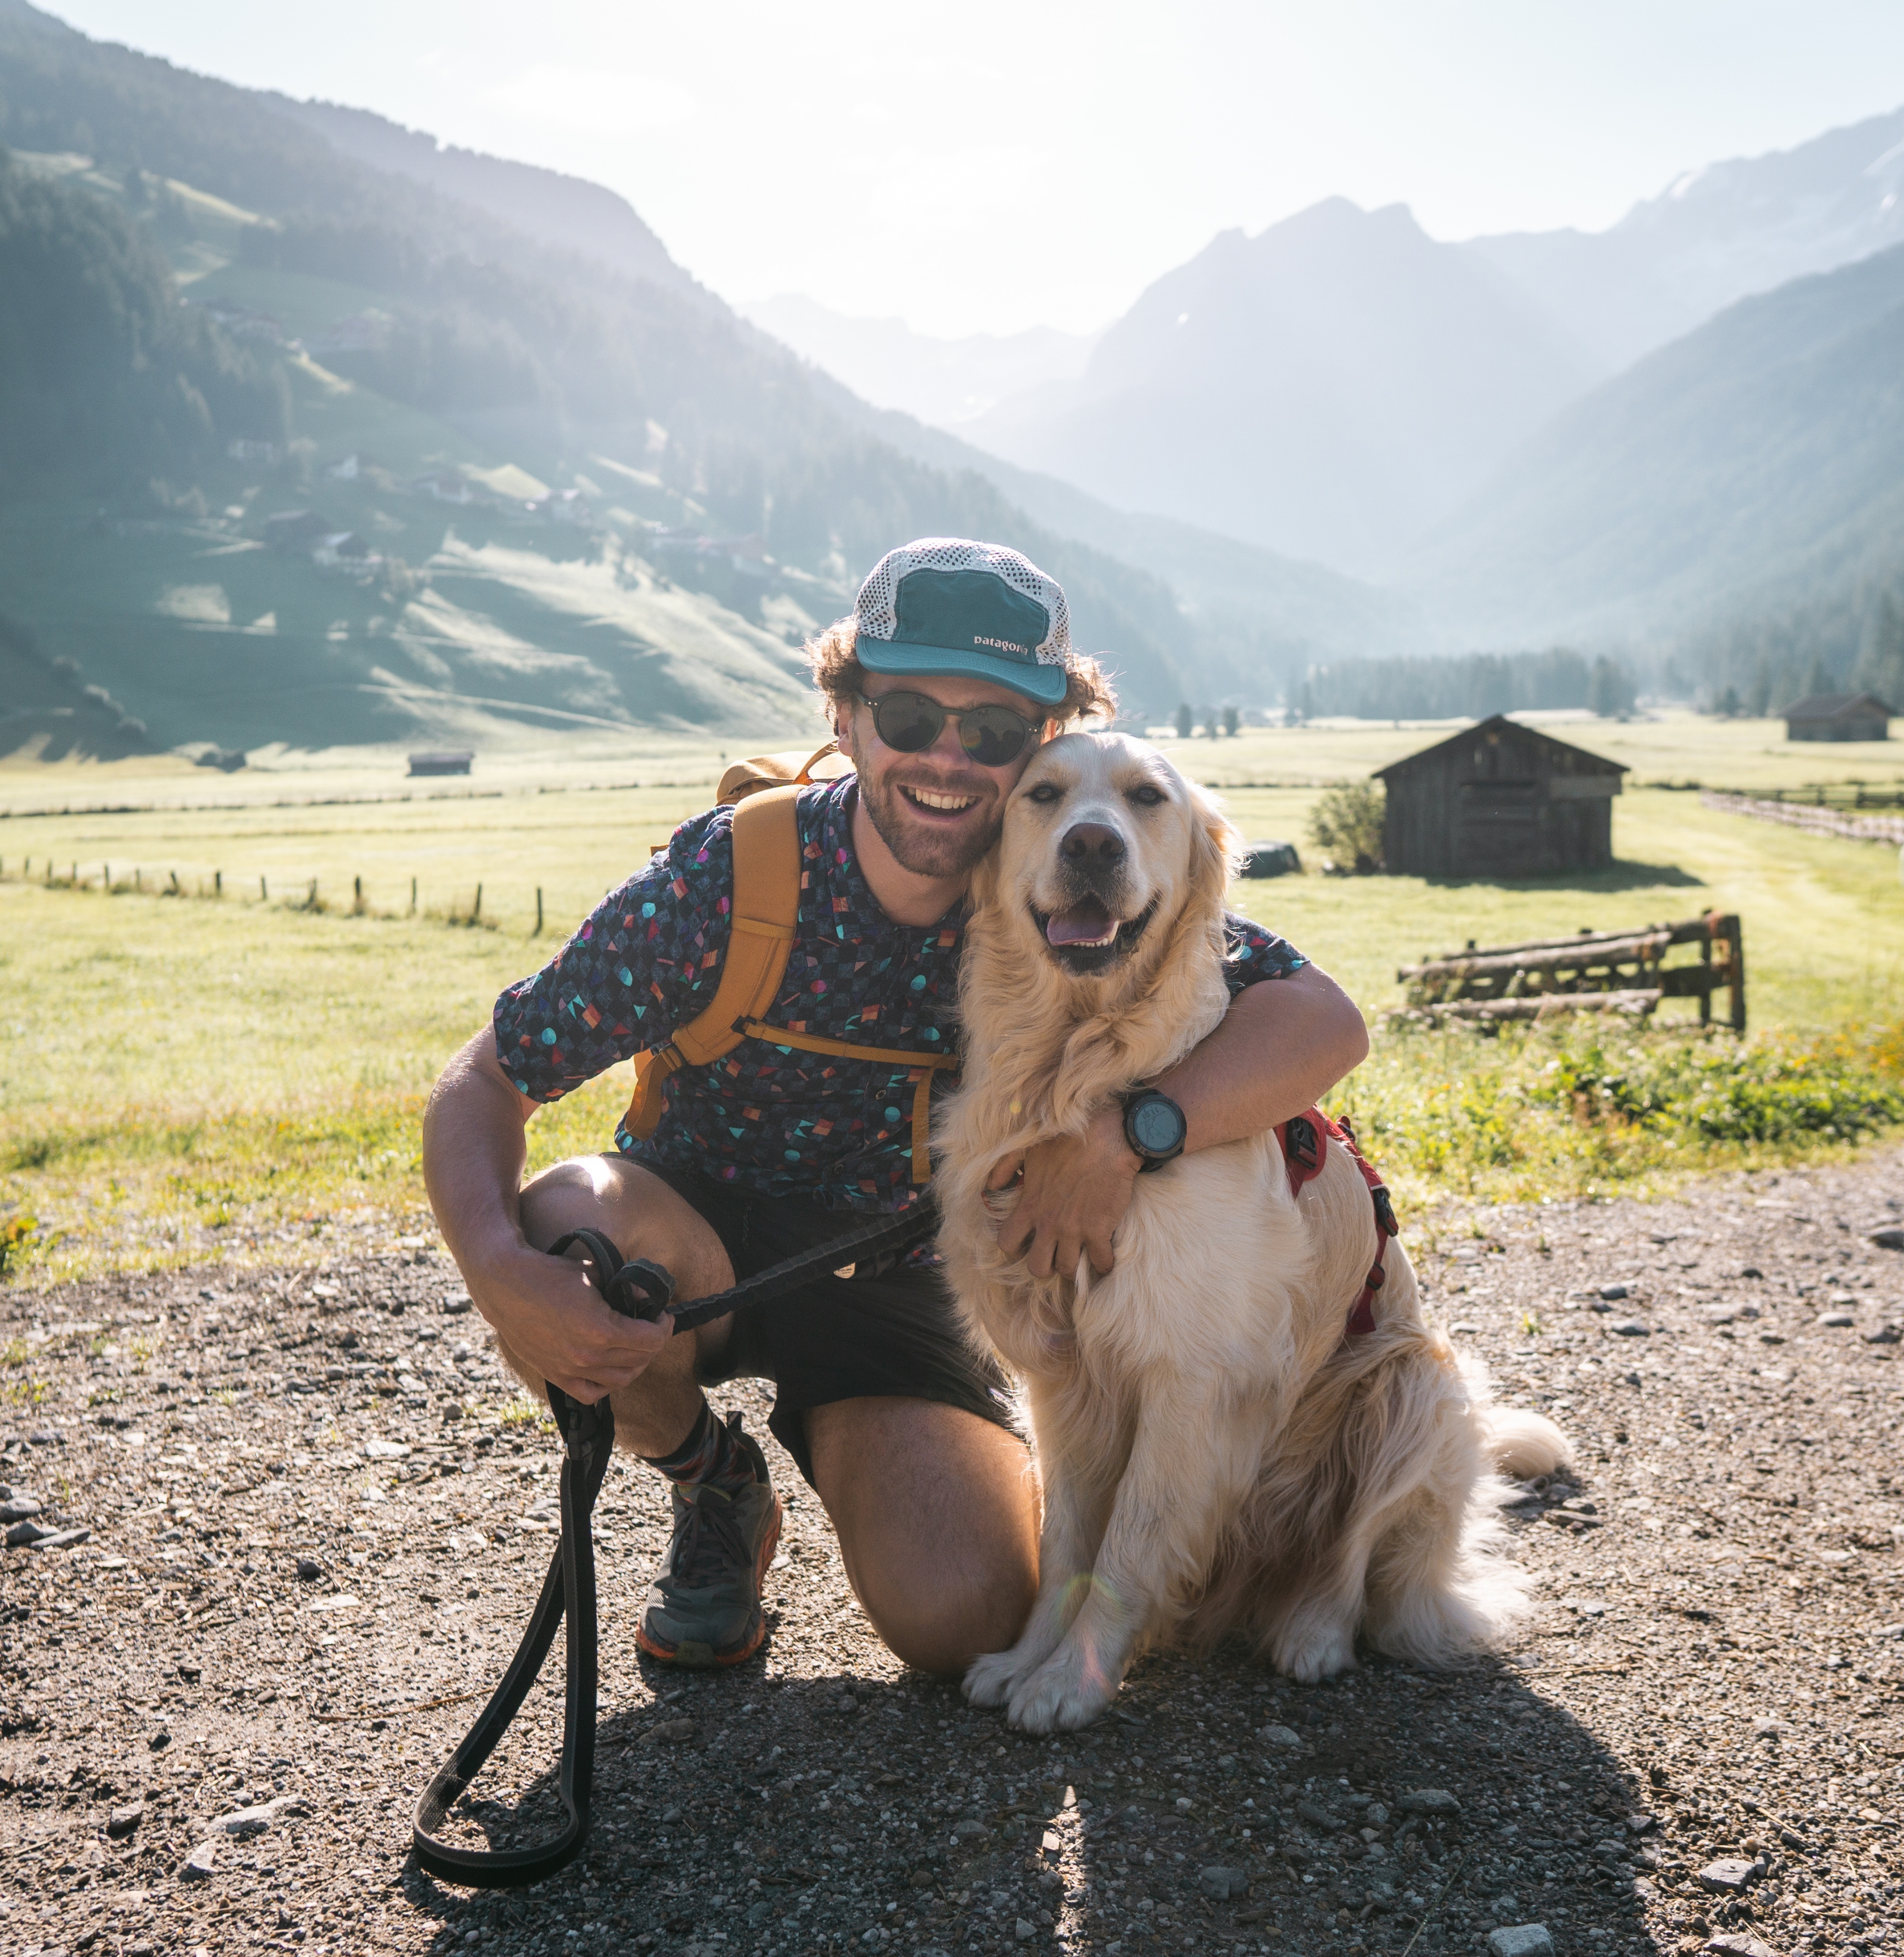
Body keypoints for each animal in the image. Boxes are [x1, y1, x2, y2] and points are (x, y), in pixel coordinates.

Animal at [939, 732, 1573, 1730]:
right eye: (1041, 793)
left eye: (1147, 798)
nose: (1093, 846)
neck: (1080, 1067)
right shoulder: (1061, 1378)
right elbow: (1063, 1539)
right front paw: (1026, 1660)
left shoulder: (1188, 1375)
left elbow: (1128, 1543)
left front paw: (1074, 1681)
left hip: (1415, 1385)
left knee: (1358, 1569)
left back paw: (1312, 1635)